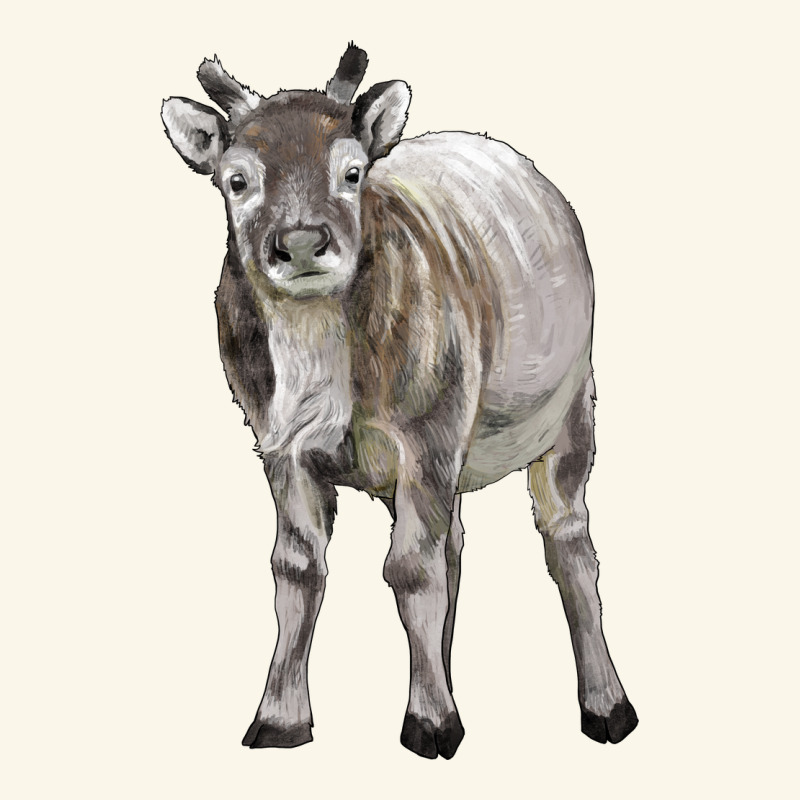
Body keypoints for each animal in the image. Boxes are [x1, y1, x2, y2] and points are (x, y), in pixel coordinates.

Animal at [161, 44, 638, 760]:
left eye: (352, 171)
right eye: (236, 179)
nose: (300, 242)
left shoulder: (429, 433)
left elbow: (410, 569)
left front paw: (430, 721)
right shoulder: (279, 446)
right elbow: (297, 567)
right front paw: (280, 719)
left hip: (572, 405)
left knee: (568, 539)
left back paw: (606, 704)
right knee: (454, 547)